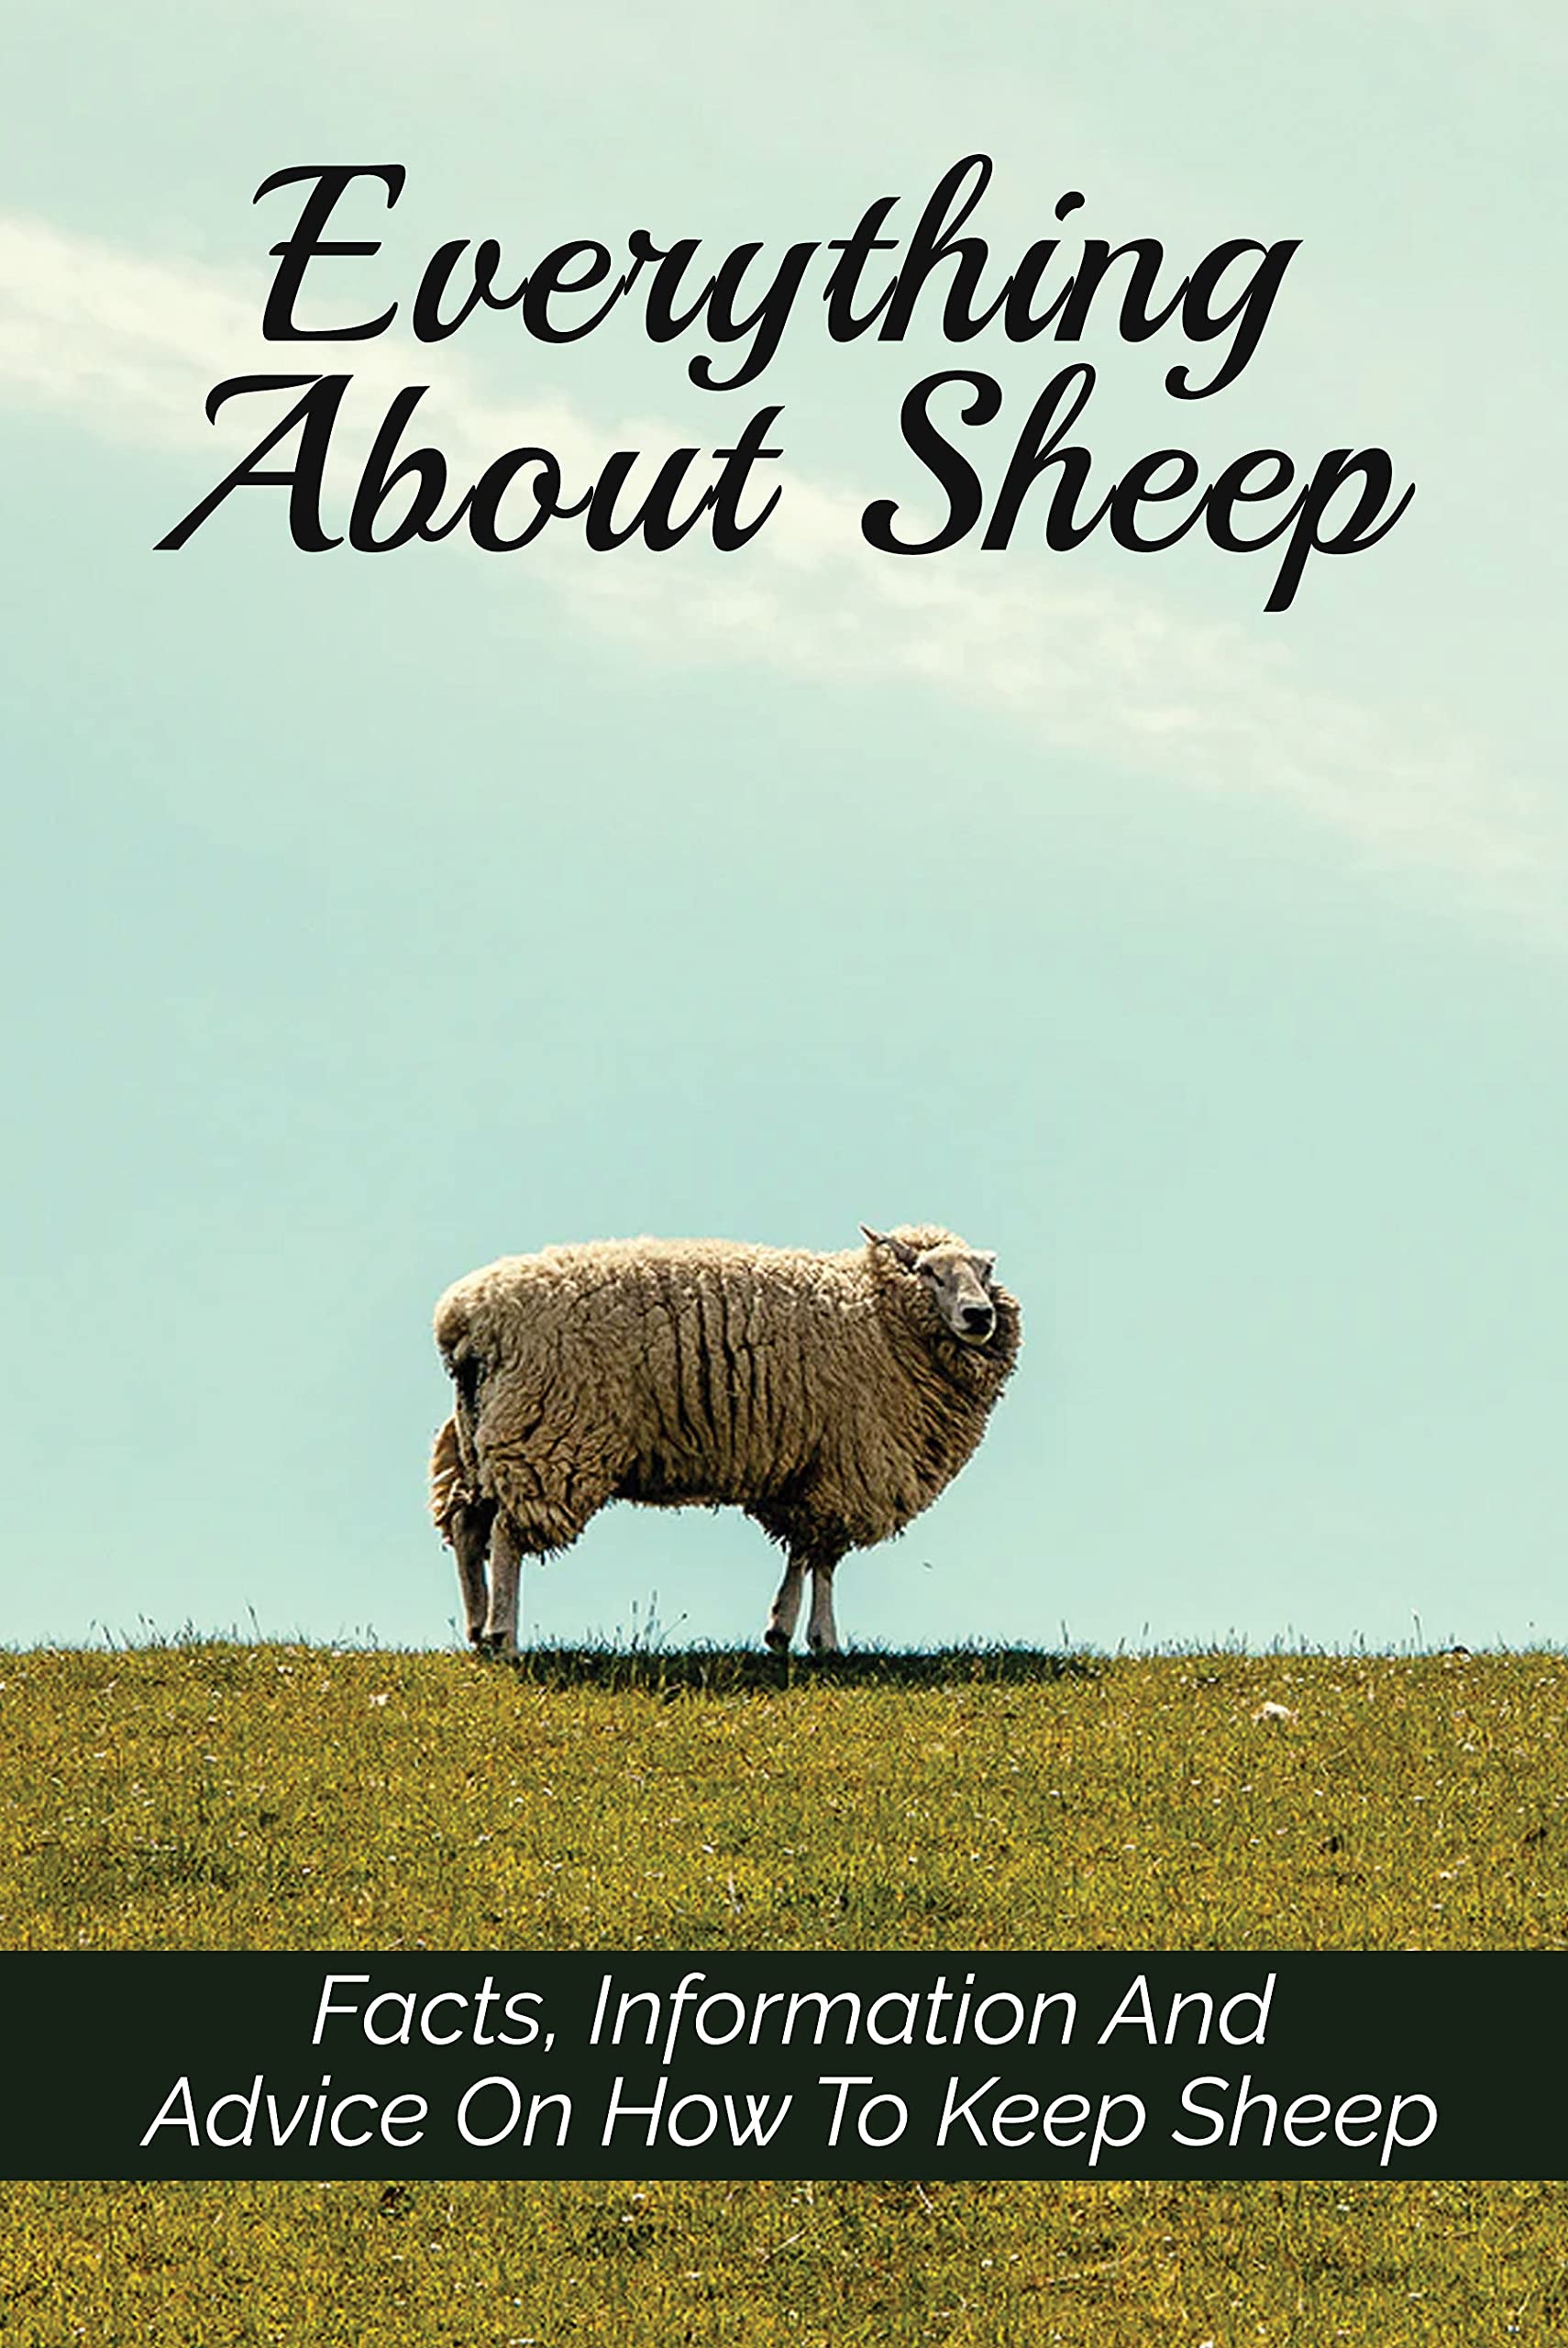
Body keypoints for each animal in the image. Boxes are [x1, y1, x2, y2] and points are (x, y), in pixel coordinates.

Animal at [429, 1224, 1021, 1656]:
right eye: (928, 1273)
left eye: (985, 1270)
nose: (979, 1315)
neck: (878, 1314)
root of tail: (465, 1318)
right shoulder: (846, 1468)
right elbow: (825, 1558)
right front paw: (825, 1640)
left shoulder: (802, 1472)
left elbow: (802, 1551)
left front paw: (782, 1632)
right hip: (546, 1435)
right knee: (507, 1533)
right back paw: (504, 1635)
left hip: (482, 1434)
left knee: (467, 1524)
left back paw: (477, 1629)